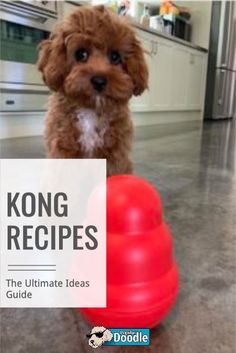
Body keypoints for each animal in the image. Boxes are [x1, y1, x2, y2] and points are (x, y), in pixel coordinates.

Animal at [37, 4, 148, 175]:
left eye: (115, 57)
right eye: (80, 54)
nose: (99, 81)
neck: (91, 109)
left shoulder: (115, 155)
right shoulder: (63, 148)